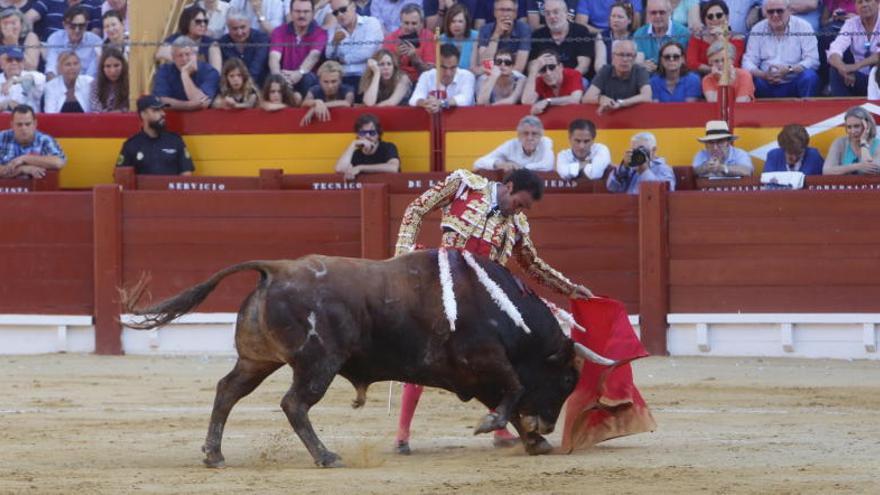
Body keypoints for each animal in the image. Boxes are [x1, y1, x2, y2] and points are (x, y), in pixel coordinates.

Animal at [125, 252, 612, 468]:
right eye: (567, 380)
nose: (549, 424)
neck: (499, 307)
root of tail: (276, 269)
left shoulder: (479, 374)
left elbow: (509, 399)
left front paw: (533, 441)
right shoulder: (486, 359)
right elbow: (513, 391)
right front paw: (497, 427)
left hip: (257, 359)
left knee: (227, 391)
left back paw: (214, 454)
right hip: (319, 363)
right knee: (294, 403)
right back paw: (325, 456)